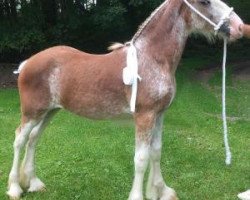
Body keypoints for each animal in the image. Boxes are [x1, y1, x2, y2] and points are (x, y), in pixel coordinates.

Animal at [6, 0, 243, 200]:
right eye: (204, 2)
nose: (239, 27)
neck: (151, 58)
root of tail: (27, 63)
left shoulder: (159, 115)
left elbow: (156, 151)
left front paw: (161, 191)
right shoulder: (145, 116)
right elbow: (141, 158)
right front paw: (139, 195)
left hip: (49, 111)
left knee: (34, 139)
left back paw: (34, 184)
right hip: (32, 112)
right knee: (19, 139)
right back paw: (15, 188)